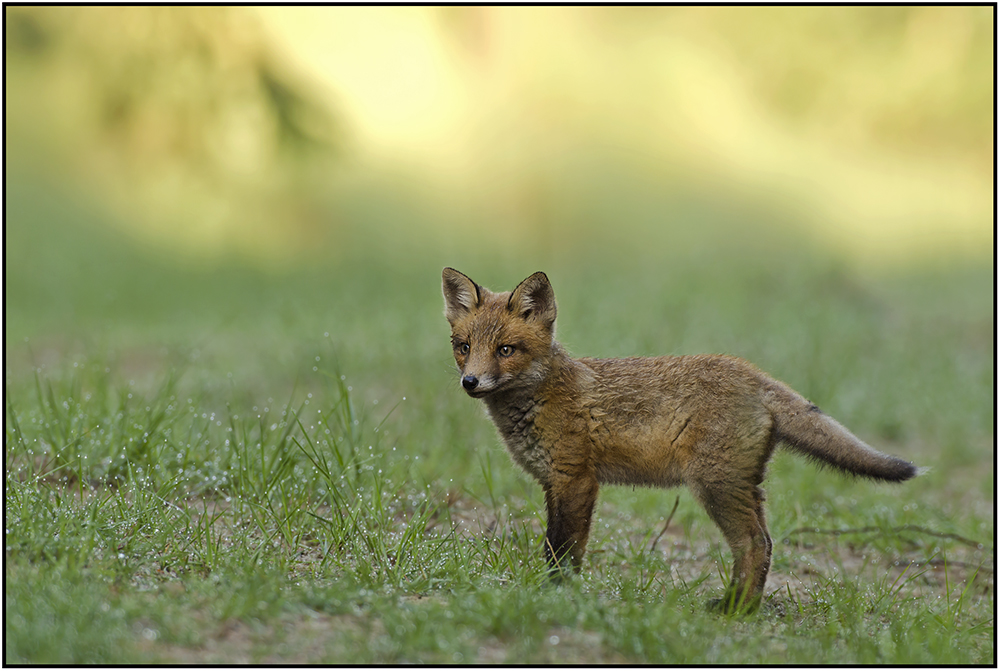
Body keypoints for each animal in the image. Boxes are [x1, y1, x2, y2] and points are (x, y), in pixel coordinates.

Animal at [442, 268, 916, 616]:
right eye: (463, 346)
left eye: (506, 349)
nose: (470, 382)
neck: (542, 396)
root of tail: (753, 373)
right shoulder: (552, 483)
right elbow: (554, 546)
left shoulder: (576, 479)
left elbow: (563, 550)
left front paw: (555, 594)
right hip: (740, 486)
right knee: (763, 543)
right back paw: (740, 605)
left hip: (716, 486)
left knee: (755, 544)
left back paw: (735, 611)